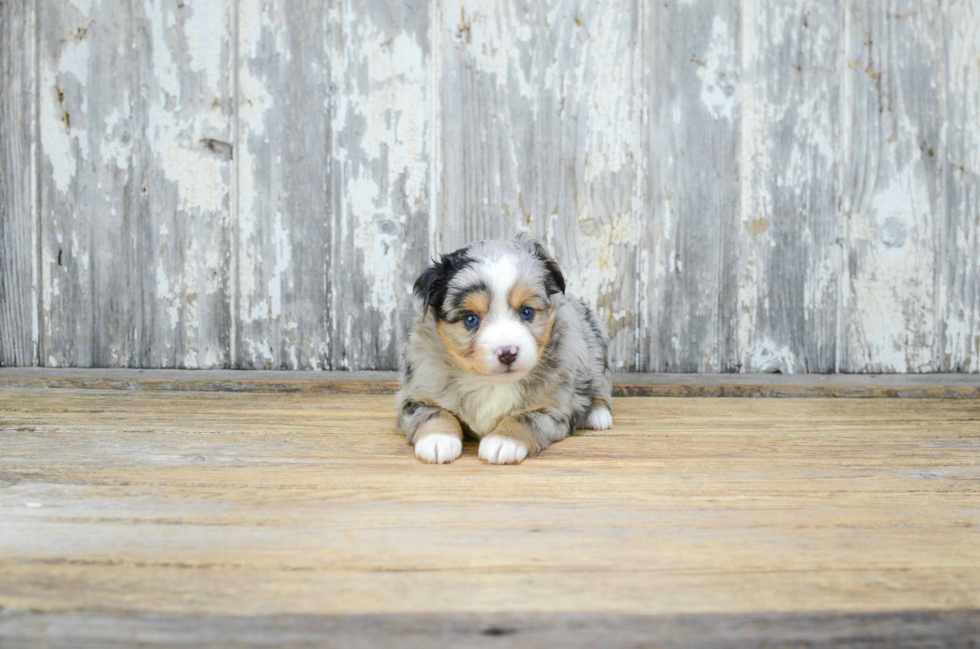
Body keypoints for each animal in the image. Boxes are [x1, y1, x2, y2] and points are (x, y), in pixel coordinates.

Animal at [392, 235, 608, 464]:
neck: (492, 383)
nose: (507, 353)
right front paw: (437, 439)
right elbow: (434, 412)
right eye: (471, 319)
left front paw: (503, 441)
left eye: (527, 312)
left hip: (594, 341)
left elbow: (523, 418)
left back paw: (598, 414)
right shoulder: (416, 395)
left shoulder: (554, 408)